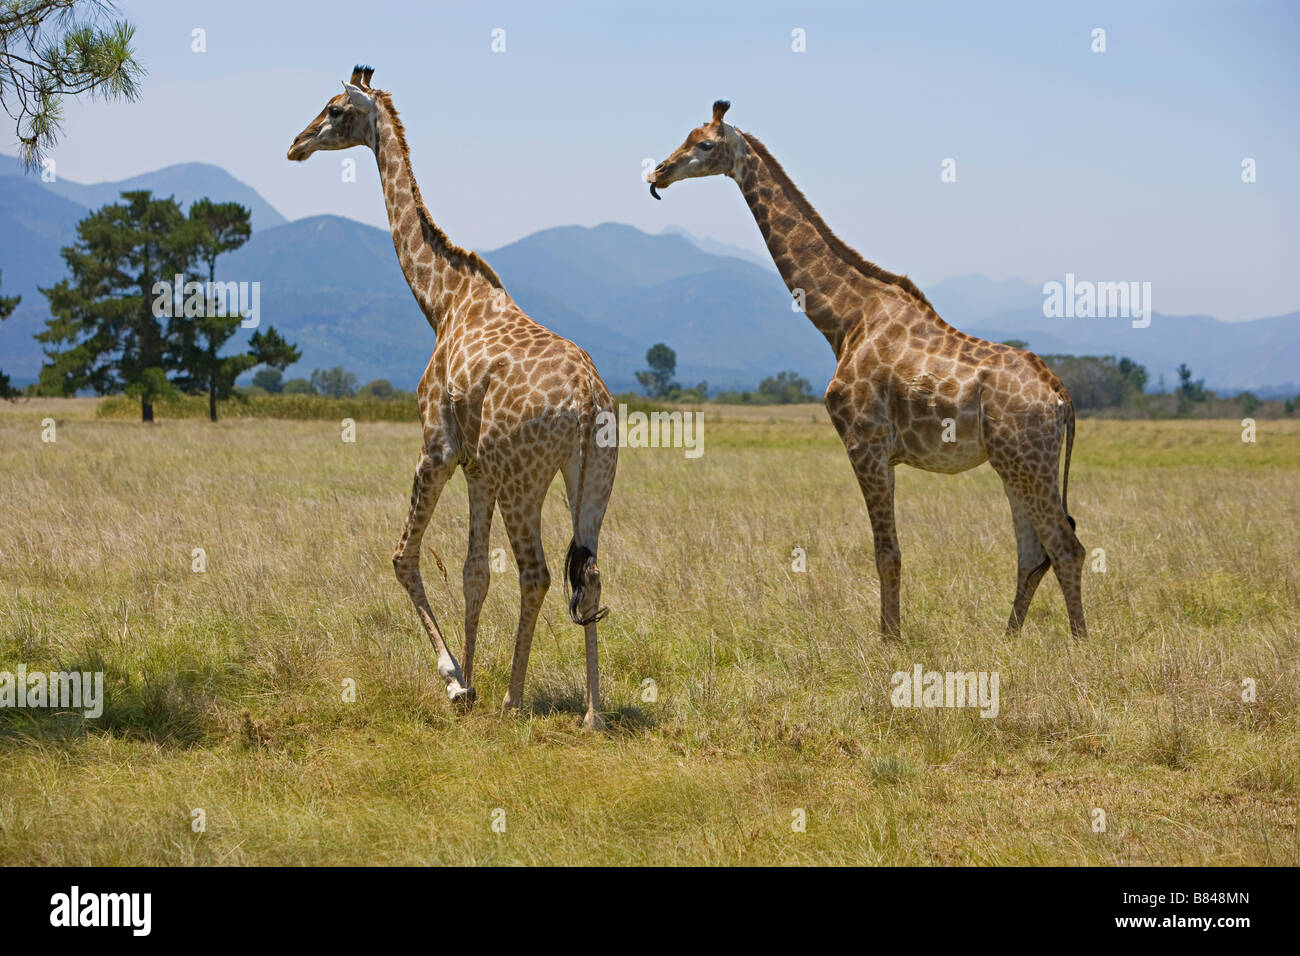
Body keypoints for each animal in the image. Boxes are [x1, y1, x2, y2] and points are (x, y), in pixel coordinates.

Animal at [288, 66, 618, 727]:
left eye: (334, 110)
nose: (296, 144)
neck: (441, 300)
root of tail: (590, 398)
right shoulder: (477, 468)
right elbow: (473, 575)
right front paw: (470, 673)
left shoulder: (439, 448)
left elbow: (404, 556)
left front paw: (458, 682)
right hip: (590, 475)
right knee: (588, 573)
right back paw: (592, 713)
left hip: (524, 478)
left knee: (538, 573)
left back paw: (515, 700)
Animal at [647, 101, 1086, 640]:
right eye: (685, 137)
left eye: (705, 144)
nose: (658, 173)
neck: (844, 318)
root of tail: (1061, 397)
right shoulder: (882, 453)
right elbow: (890, 551)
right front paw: (891, 634)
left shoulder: (865, 444)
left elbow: (887, 553)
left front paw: (889, 640)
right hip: (1014, 464)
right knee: (1032, 551)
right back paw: (1008, 640)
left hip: (1029, 460)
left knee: (1065, 545)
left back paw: (1079, 643)